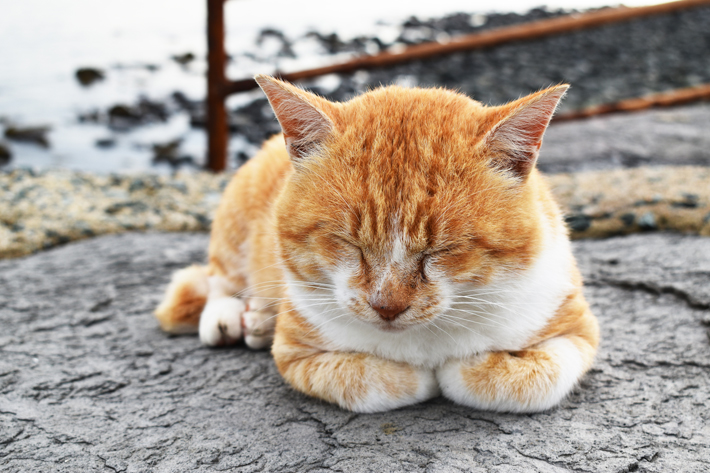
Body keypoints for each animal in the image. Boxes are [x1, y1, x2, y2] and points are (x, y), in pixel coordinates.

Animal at [156, 75, 600, 412]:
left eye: (443, 250)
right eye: (348, 243)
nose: (387, 306)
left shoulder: (575, 329)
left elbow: (526, 381)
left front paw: (462, 368)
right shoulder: (296, 353)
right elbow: (369, 379)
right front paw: (421, 375)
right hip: (237, 221)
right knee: (219, 279)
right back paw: (231, 317)